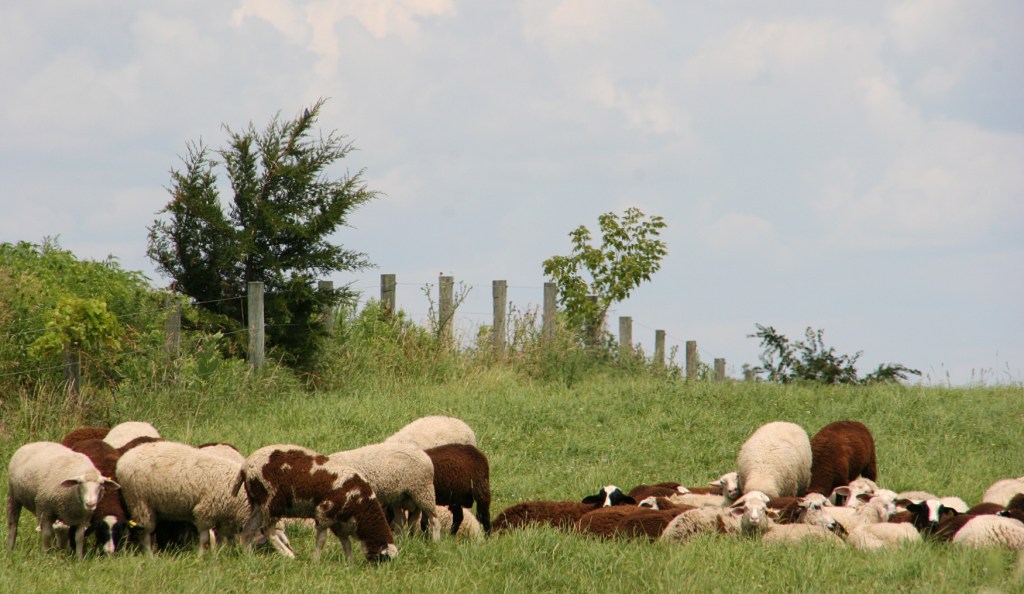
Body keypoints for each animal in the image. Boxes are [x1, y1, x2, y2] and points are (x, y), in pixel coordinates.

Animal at [116, 440, 251, 556]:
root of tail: (124, 458)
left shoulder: (223, 516)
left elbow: (221, 539)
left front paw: (218, 554)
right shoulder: (205, 511)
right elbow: (204, 538)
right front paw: (201, 557)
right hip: (139, 502)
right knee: (145, 534)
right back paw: (150, 557)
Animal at [234, 444, 397, 562]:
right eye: (384, 559)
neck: (362, 508)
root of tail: (245, 466)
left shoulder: (339, 523)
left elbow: (346, 543)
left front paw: (350, 563)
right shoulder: (325, 513)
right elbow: (322, 539)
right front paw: (316, 561)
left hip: (259, 502)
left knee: (248, 529)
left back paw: (249, 556)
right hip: (272, 500)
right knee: (267, 530)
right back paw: (289, 555)